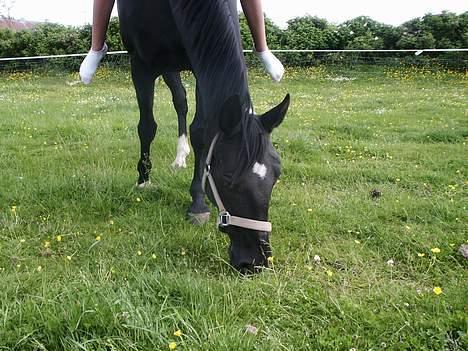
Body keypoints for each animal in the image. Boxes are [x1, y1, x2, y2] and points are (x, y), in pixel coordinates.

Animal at [117, 0, 290, 272]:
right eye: (228, 180)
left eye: (277, 173)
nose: (256, 262)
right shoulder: (141, 65)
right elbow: (146, 126)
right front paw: (143, 179)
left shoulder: (202, 61)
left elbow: (200, 131)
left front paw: (197, 202)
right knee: (177, 101)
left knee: (180, 101)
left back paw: (181, 156)